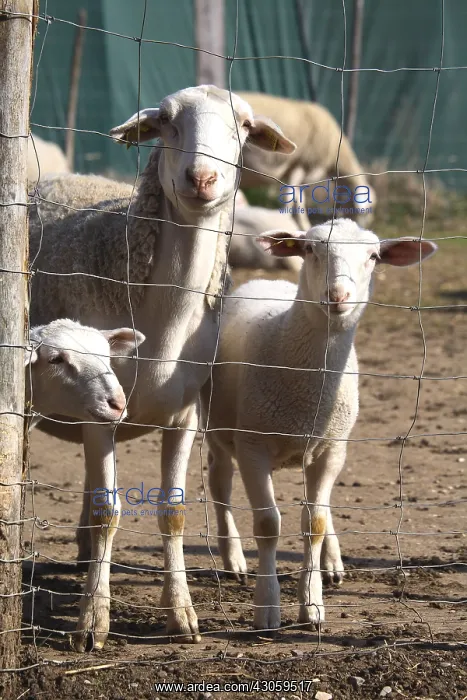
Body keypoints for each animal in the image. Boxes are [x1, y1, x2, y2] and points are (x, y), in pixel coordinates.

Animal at [28, 85, 296, 651]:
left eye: (244, 126)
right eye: (167, 121)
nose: (203, 178)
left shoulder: (183, 416)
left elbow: (173, 514)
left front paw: (181, 615)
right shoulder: (99, 415)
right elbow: (109, 512)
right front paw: (92, 622)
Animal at [201, 219, 437, 631]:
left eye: (373, 257)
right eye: (310, 249)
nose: (338, 295)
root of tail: (263, 281)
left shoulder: (331, 448)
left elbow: (316, 522)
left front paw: (312, 604)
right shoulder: (252, 446)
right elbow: (268, 525)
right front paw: (267, 607)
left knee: (320, 506)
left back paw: (332, 561)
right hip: (217, 427)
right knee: (219, 482)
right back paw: (233, 559)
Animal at [237, 92, 375, 229]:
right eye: (365, 212)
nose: (362, 228)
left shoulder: (295, 170)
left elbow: (297, 196)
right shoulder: (301, 165)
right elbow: (291, 196)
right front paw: (298, 223)